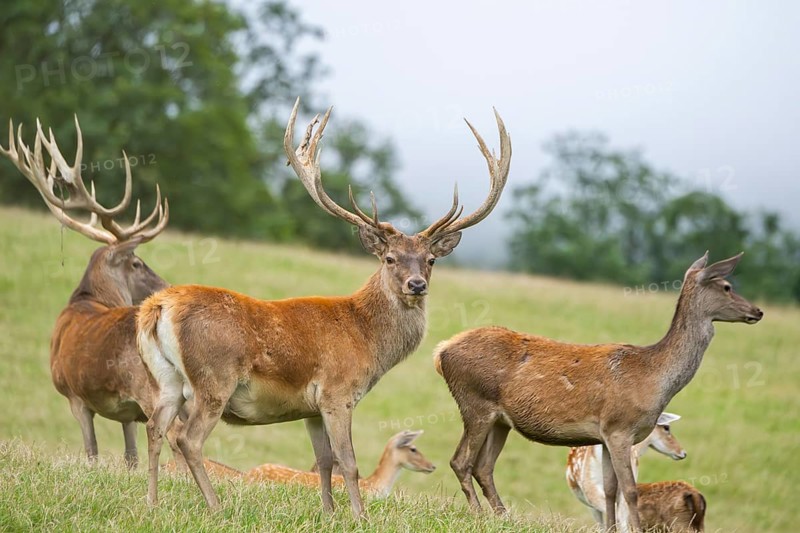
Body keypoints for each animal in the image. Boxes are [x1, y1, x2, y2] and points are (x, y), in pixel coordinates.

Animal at [0, 116, 177, 469]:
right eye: (137, 263)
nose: (166, 287)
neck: (91, 299)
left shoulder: (73, 394)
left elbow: (92, 453)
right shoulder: (121, 409)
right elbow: (128, 457)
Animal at [137, 97, 511, 516]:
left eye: (430, 260)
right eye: (390, 258)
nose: (416, 285)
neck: (367, 338)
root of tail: (157, 307)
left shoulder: (310, 408)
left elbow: (324, 460)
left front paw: (329, 513)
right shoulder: (338, 392)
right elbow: (348, 461)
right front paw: (360, 516)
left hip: (165, 379)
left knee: (154, 427)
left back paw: (151, 503)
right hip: (214, 377)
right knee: (188, 437)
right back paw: (215, 506)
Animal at [433, 252, 762, 531]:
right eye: (727, 286)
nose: (757, 311)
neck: (655, 379)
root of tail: (441, 351)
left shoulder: (604, 435)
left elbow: (610, 491)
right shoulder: (619, 427)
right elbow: (629, 490)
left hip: (501, 420)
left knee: (484, 467)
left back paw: (504, 517)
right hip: (475, 403)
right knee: (460, 461)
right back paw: (478, 514)